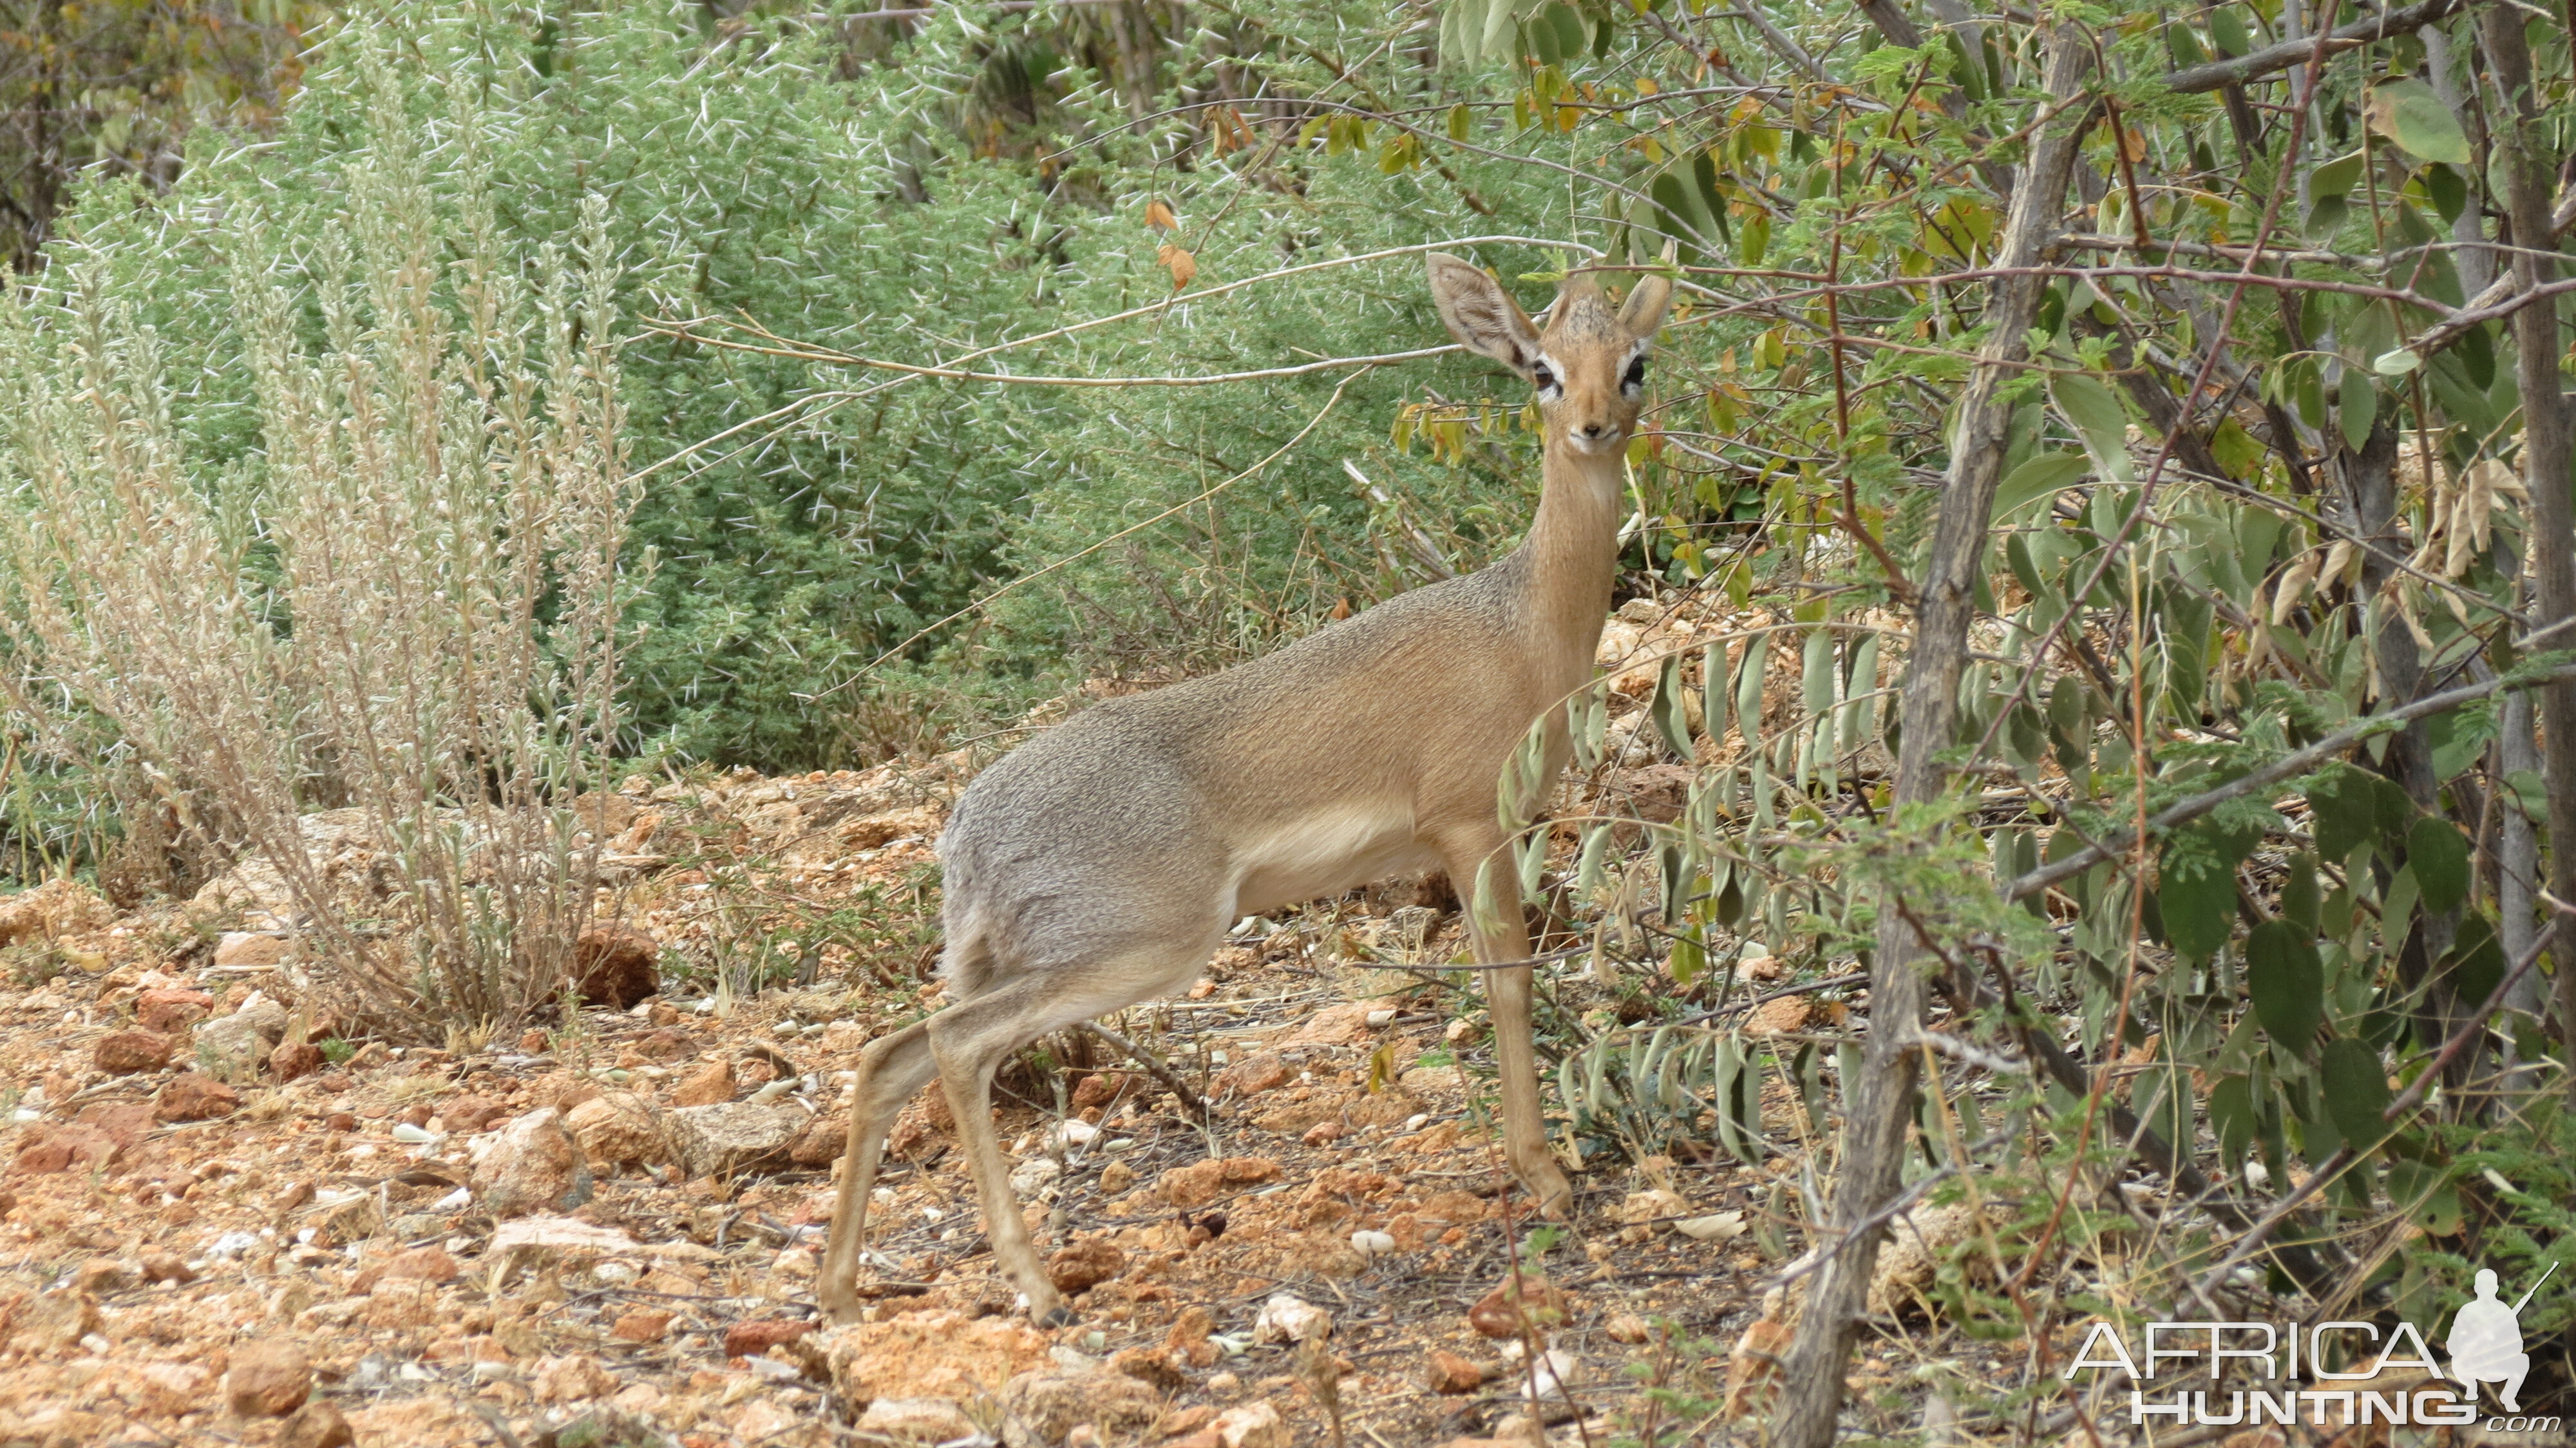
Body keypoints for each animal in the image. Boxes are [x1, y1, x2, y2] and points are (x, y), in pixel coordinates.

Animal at [814, 251, 1680, 1319]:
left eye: (1634, 362)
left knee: (884, 1055)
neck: (1524, 624)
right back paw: (1033, 1283)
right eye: (1541, 369)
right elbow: (1508, 984)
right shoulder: (1471, 828)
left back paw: (843, 1296)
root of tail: (967, 833)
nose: (1594, 425)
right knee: (954, 1046)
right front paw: (1545, 1173)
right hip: (1144, 946)